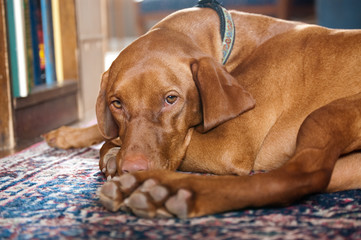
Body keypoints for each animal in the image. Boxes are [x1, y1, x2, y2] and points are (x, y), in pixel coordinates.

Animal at [44, 0, 360, 218]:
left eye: (171, 99)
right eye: (117, 103)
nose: (132, 167)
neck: (230, 43)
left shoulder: (228, 146)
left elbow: (111, 141)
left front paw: (111, 155)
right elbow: (105, 132)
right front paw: (71, 136)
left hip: (327, 114)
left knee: (300, 176)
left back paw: (160, 188)